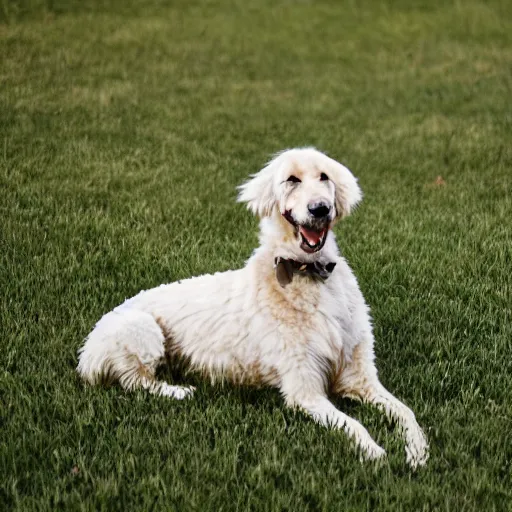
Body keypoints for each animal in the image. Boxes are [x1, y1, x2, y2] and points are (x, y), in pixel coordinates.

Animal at [76, 146, 428, 466]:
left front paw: (417, 451)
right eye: (292, 180)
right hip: (141, 330)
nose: (320, 209)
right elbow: (352, 424)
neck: (310, 275)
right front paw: (375, 452)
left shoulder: (360, 376)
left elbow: (407, 413)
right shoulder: (304, 390)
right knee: (135, 381)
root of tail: (87, 353)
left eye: (324, 177)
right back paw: (180, 391)